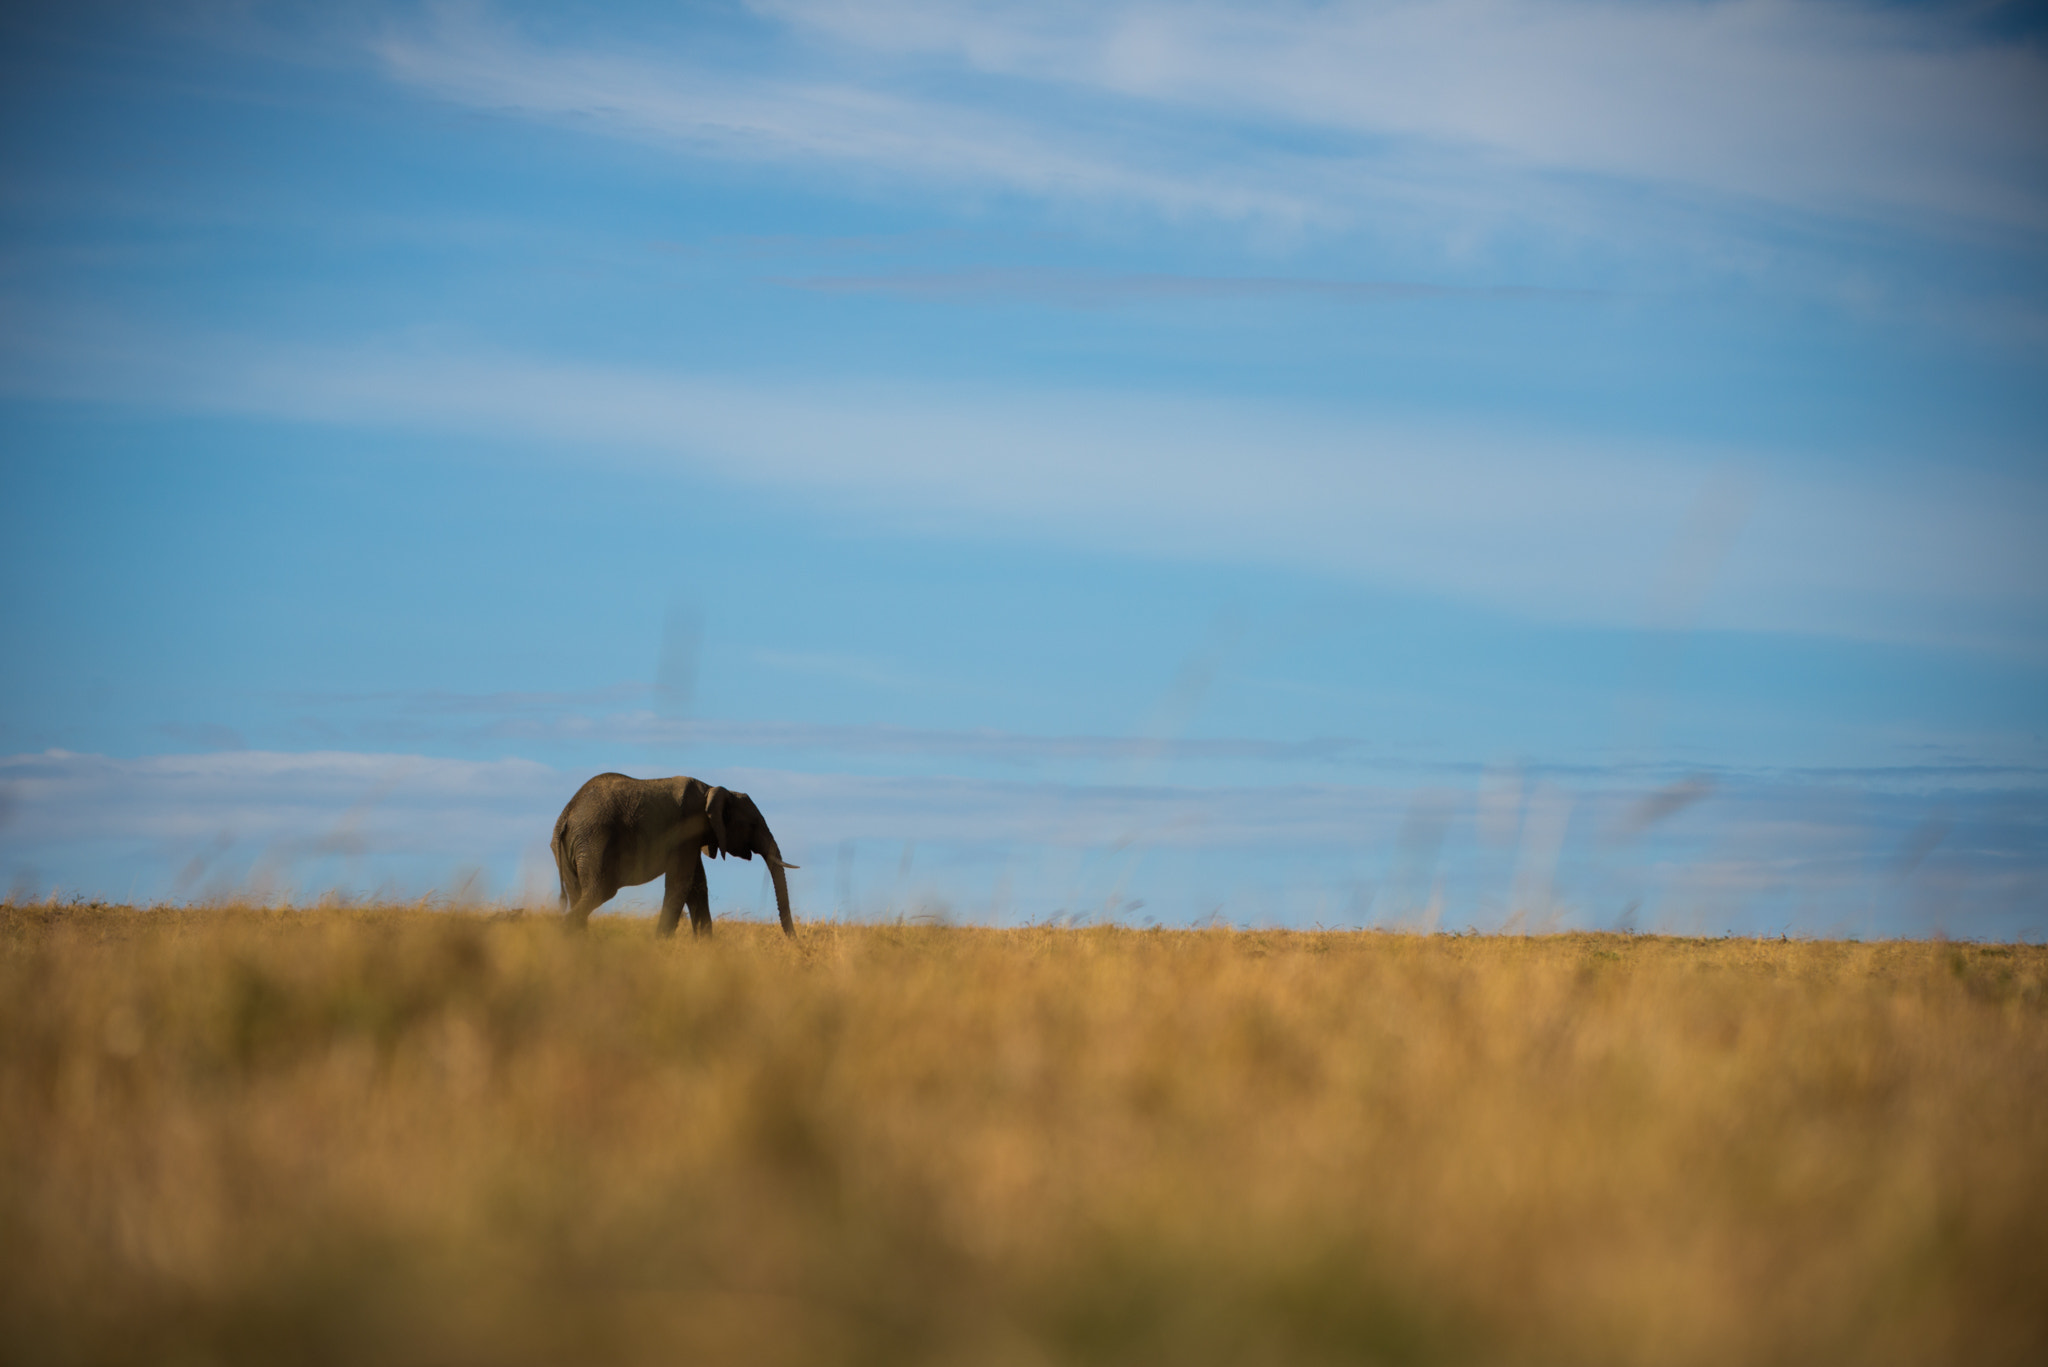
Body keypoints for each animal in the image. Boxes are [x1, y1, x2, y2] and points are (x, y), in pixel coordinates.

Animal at [548, 774, 794, 934]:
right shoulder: (686, 831)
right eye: (752, 825)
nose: (793, 941)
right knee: (600, 891)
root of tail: (567, 815)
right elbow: (680, 885)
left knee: (578, 894)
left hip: (575, 847)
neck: (711, 789)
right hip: (595, 841)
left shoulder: (693, 840)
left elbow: (697, 888)